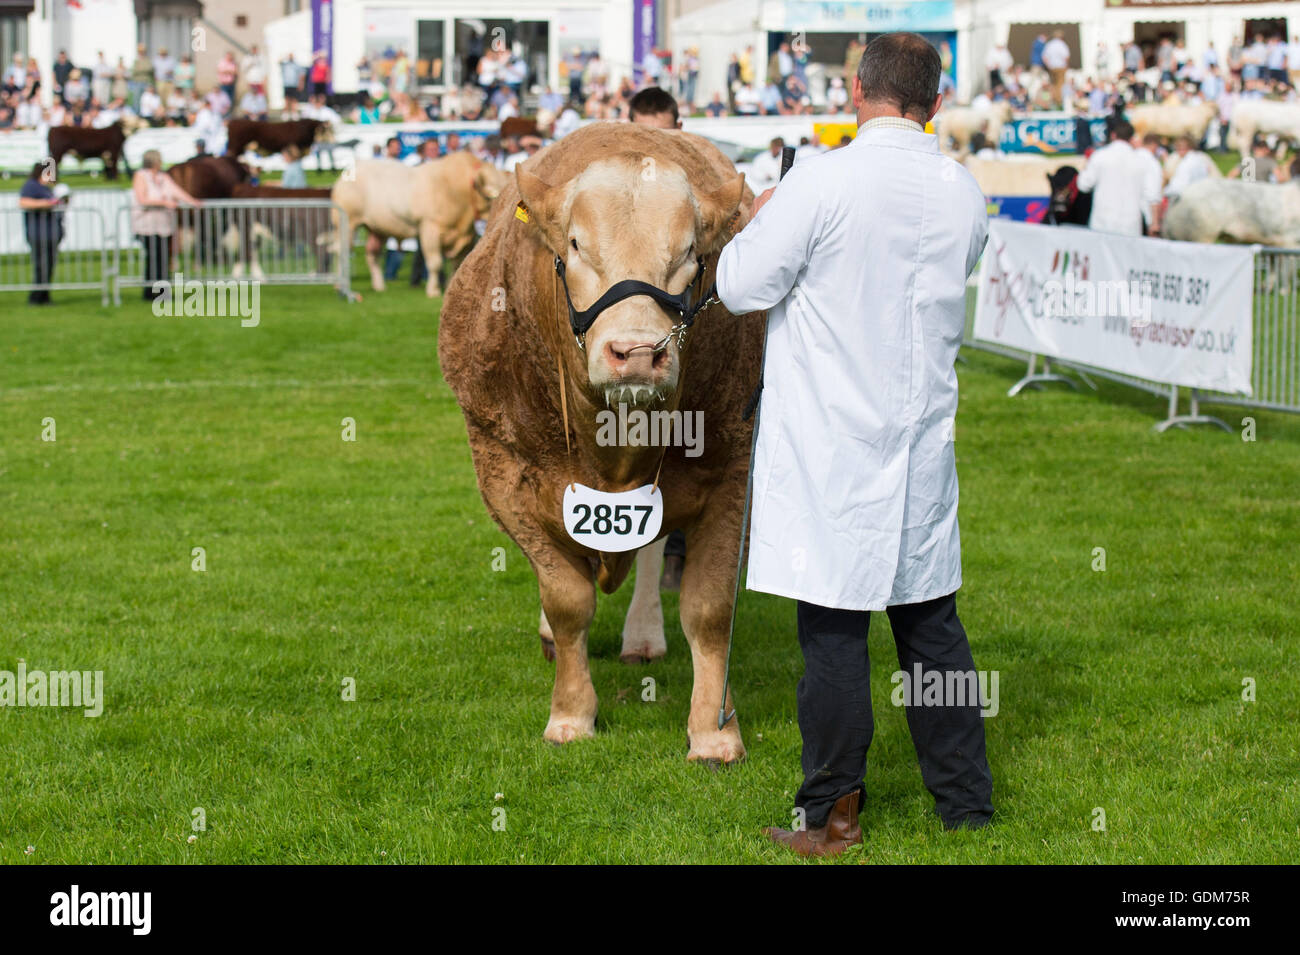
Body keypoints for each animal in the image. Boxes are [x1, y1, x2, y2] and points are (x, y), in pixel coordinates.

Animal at [330, 152, 506, 298]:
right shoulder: (429, 228)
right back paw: (339, 286)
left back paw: (379, 286)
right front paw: (433, 291)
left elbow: (457, 264)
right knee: (340, 250)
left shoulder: (467, 236)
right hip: (347, 223)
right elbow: (435, 262)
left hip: (377, 229)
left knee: (373, 253)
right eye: (493, 193)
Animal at [439, 123, 759, 764]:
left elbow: (709, 608)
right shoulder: (503, 475)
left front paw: (714, 730)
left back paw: (643, 634)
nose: (636, 352)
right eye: (577, 245)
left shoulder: (733, 470)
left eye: (691, 253)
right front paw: (570, 715)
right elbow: (567, 601)